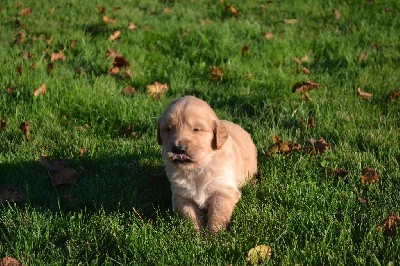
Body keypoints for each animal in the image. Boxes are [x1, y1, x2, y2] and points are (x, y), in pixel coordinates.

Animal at [156, 96, 256, 233]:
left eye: (196, 129)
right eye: (168, 129)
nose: (179, 149)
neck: (198, 168)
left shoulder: (222, 192)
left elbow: (217, 216)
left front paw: (213, 235)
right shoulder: (182, 197)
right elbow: (190, 217)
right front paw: (195, 235)